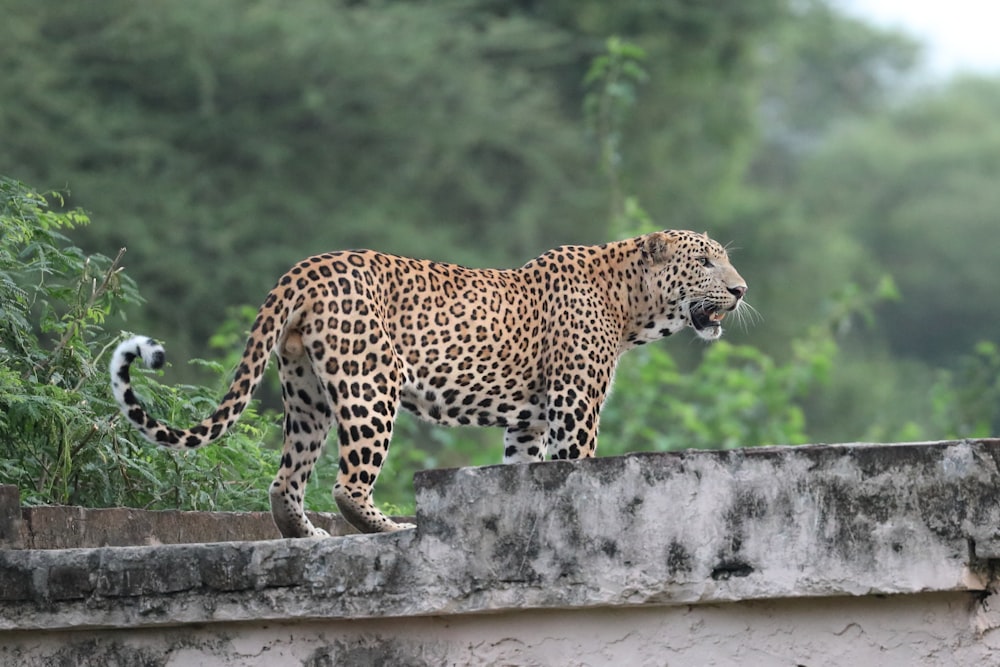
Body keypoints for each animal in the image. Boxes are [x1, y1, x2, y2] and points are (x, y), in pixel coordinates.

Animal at [113, 230, 748, 536]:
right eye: (706, 263)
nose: (741, 290)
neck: (632, 303)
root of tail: (304, 267)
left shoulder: (529, 422)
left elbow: (523, 474)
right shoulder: (575, 408)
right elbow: (581, 466)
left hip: (307, 392)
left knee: (285, 479)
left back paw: (308, 538)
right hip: (371, 383)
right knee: (347, 483)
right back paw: (392, 527)